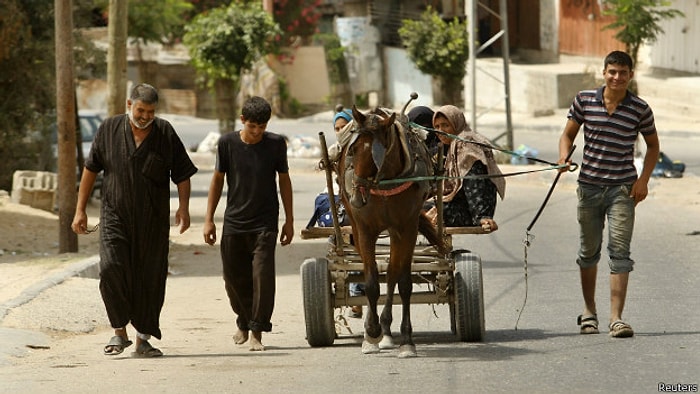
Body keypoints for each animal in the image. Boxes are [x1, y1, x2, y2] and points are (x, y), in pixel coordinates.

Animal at [338, 104, 442, 358]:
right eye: (353, 149)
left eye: (376, 155)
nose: (357, 197)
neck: (385, 183)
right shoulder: (365, 230)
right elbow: (371, 283)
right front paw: (371, 332)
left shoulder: (407, 228)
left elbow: (403, 283)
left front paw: (406, 340)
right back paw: (376, 329)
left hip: (396, 232)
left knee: (393, 273)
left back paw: (386, 329)